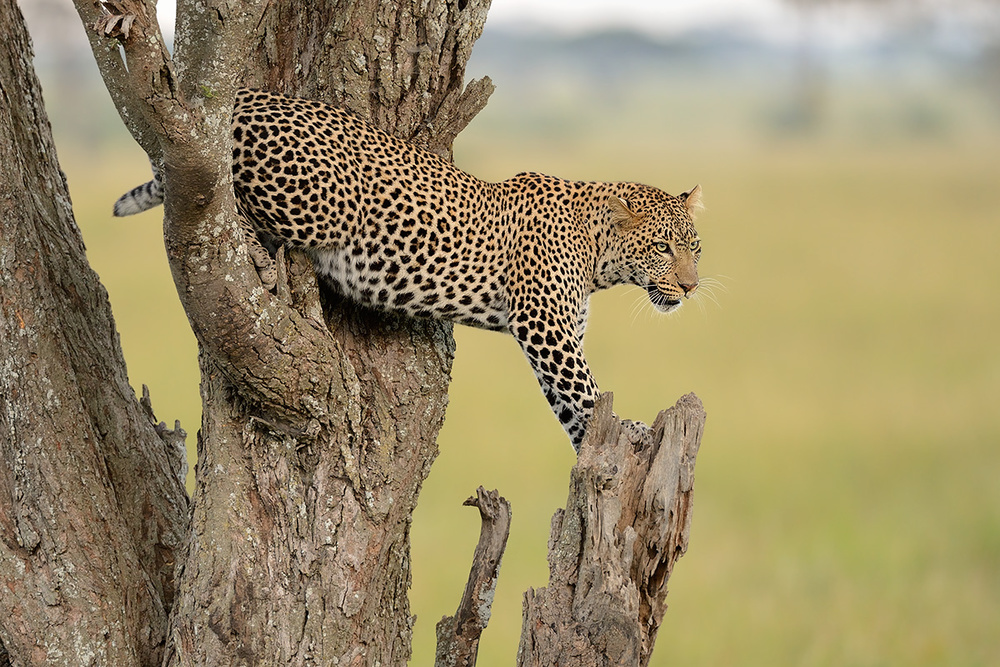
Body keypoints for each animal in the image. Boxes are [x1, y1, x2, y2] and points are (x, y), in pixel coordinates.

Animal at [114, 89, 704, 450]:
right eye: (663, 248)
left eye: (695, 247)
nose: (691, 286)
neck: (596, 250)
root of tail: (247, 94)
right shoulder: (546, 330)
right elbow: (583, 391)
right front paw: (631, 432)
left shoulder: (557, 334)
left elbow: (572, 408)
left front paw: (595, 451)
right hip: (320, 205)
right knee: (215, 198)